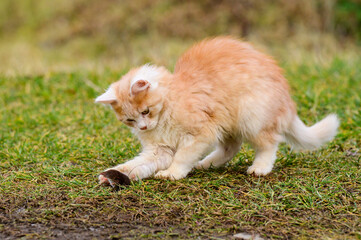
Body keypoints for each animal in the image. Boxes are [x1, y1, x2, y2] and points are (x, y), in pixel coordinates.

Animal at [95, 35, 338, 183]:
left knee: (270, 143)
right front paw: (117, 174)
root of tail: (287, 101)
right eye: (130, 120)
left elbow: (182, 157)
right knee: (232, 147)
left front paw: (173, 173)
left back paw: (259, 167)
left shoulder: (200, 134)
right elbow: (138, 164)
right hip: (229, 123)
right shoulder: (160, 150)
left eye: (145, 111)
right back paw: (206, 164)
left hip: (251, 117)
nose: (143, 127)